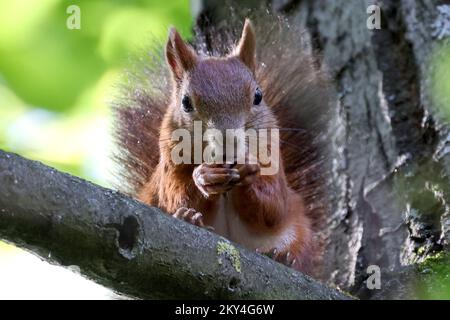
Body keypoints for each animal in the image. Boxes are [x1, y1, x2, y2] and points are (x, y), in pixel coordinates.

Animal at [112, 16, 330, 276]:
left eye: (258, 96)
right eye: (185, 102)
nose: (229, 143)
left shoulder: (273, 162)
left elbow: (273, 206)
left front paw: (248, 170)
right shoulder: (169, 164)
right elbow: (174, 194)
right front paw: (204, 176)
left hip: (299, 233)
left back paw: (283, 257)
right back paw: (189, 218)